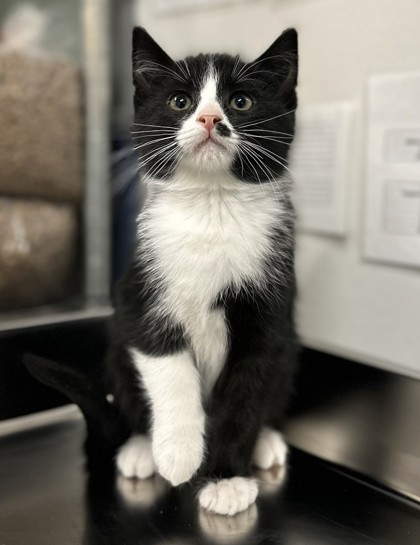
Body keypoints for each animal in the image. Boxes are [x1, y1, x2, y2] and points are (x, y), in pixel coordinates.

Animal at [106, 26, 299, 516]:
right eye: (180, 101)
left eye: (240, 102)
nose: (210, 119)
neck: (212, 205)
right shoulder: (139, 293)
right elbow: (167, 366)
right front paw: (177, 453)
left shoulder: (270, 313)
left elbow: (246, 395)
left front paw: (227, 479)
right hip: (115, 347)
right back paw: (142, 448)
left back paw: (266, 443)